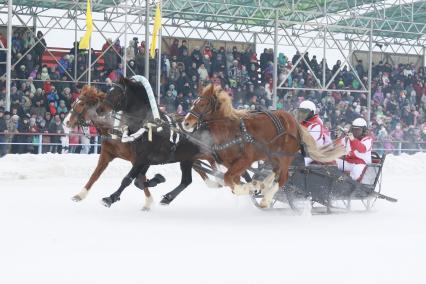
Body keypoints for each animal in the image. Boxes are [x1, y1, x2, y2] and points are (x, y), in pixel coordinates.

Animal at [101, 76, 215, 207]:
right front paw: (158, 179)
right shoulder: (144, 159)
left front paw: (111, 198)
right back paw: (168, 197)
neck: (149, 126)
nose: (99, 109)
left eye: (117, 93)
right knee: (186, 181)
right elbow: (138, 182)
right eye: (109, 90)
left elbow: (128, 179)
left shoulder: (143, 159)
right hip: (187, 158)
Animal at [181, 83, 344, 207]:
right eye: (194, 102)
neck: (231, 130)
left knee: (283, 177)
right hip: (271, 155)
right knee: (275, 171)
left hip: (285, 156)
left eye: (202, 104)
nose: (186, 123)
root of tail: (294, 122)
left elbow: (228, 180)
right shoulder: (229, 162)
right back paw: (264, 185)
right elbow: (232, 181)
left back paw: (266, 198)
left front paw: (250, 188)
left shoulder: (245, 160)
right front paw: (254, 185)